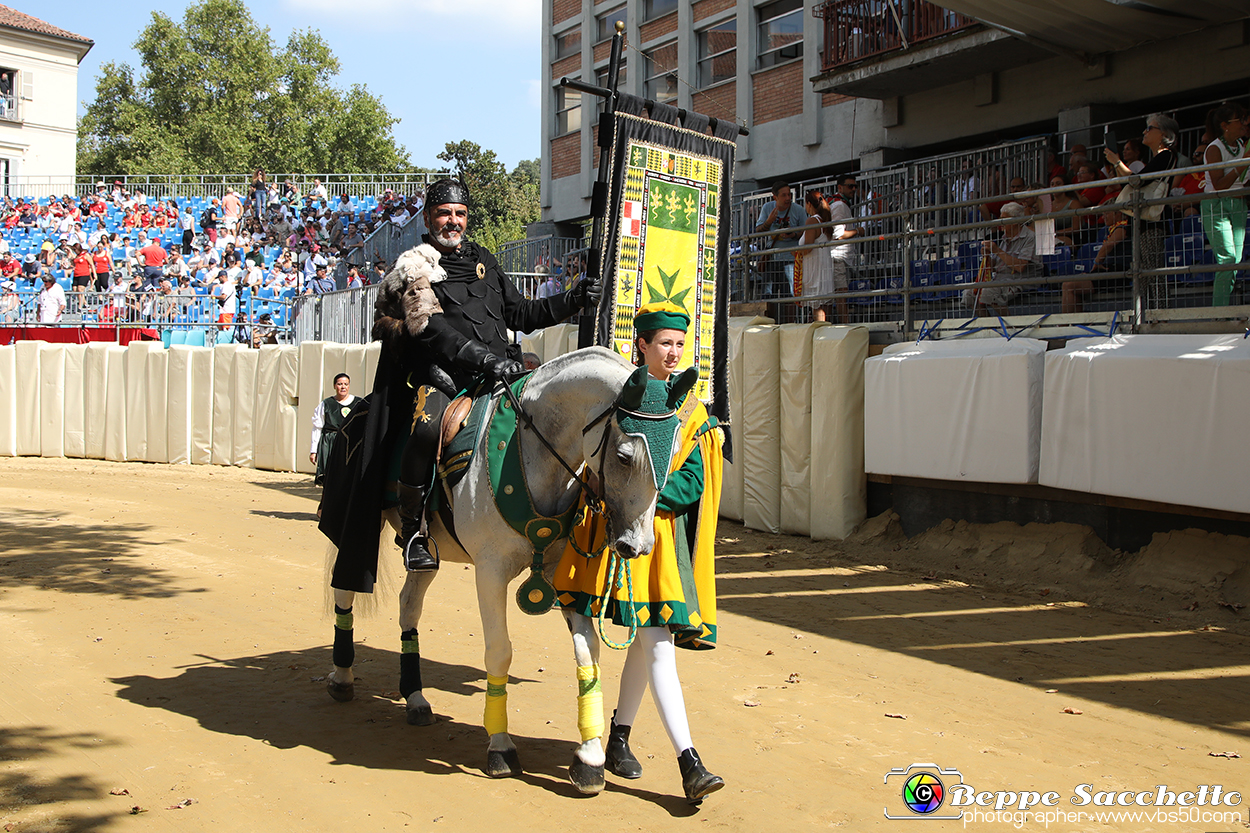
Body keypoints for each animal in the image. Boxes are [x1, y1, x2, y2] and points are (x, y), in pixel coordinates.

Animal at [327, 347, 670, 790]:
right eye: (625, 457)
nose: (637, 546)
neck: (534, 454)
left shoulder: (560, 575)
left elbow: (587, 651)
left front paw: (590, 758)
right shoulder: (489, 572)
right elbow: (500, 652)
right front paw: (501, 747)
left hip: (426, 552)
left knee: (409, 607)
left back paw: (416, 698)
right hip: (352, 527)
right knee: (344, 590)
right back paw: (341, 677)